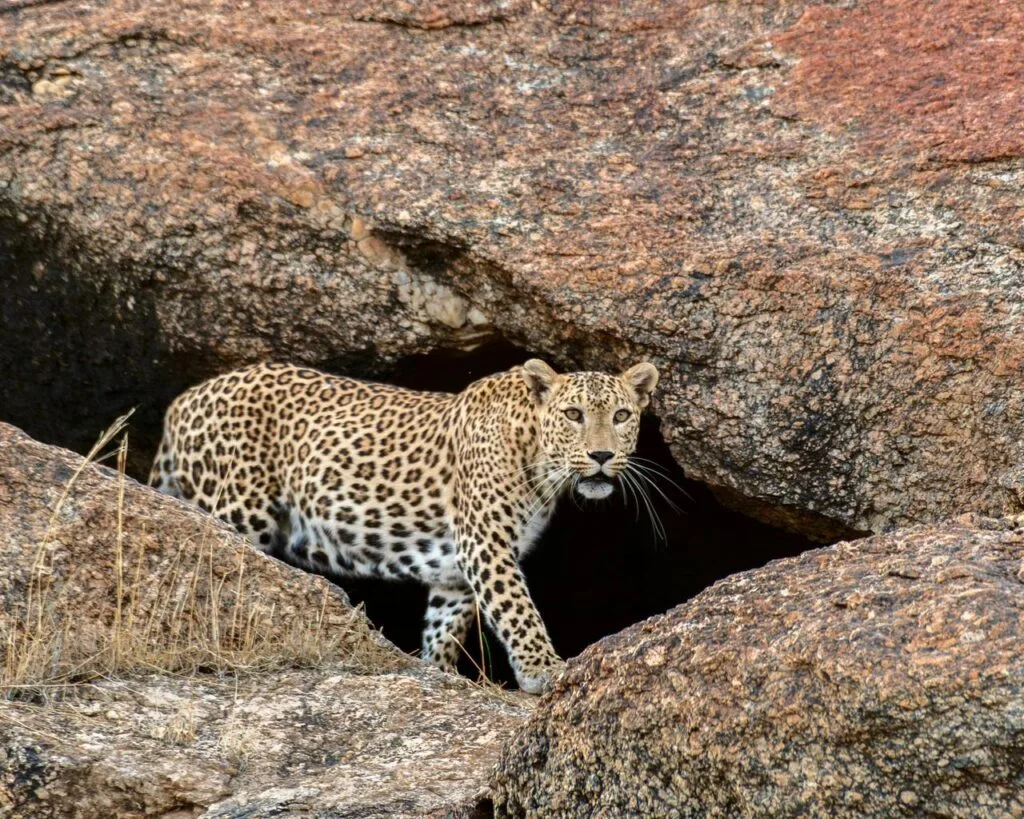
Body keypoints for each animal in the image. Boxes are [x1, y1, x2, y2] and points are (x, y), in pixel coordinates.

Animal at [149, 358, 659, 693]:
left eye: (621, 415)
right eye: (574, 415)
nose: (601, 455)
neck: (537, 457)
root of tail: (183, 401)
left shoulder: (454, 575)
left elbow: (443, 631)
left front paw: (440, 674)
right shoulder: (486, 546)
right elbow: (518, 611)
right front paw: (545, 670)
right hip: (237, 508)